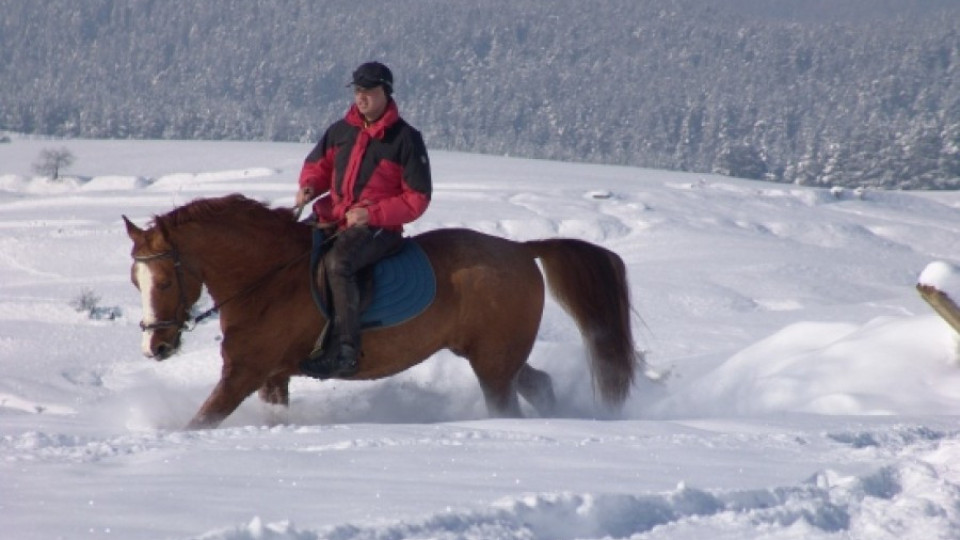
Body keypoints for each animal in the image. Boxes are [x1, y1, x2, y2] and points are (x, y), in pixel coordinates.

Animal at [122, 192, 644, 428]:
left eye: (164, 281)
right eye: (135, 281)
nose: (155, 346)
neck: (266, 277)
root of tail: (521, 249)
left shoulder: (244, 373)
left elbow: (201, 420)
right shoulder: (272, 375)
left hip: (493, 365)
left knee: (510, 403)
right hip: (499, 357)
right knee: (540, 385)